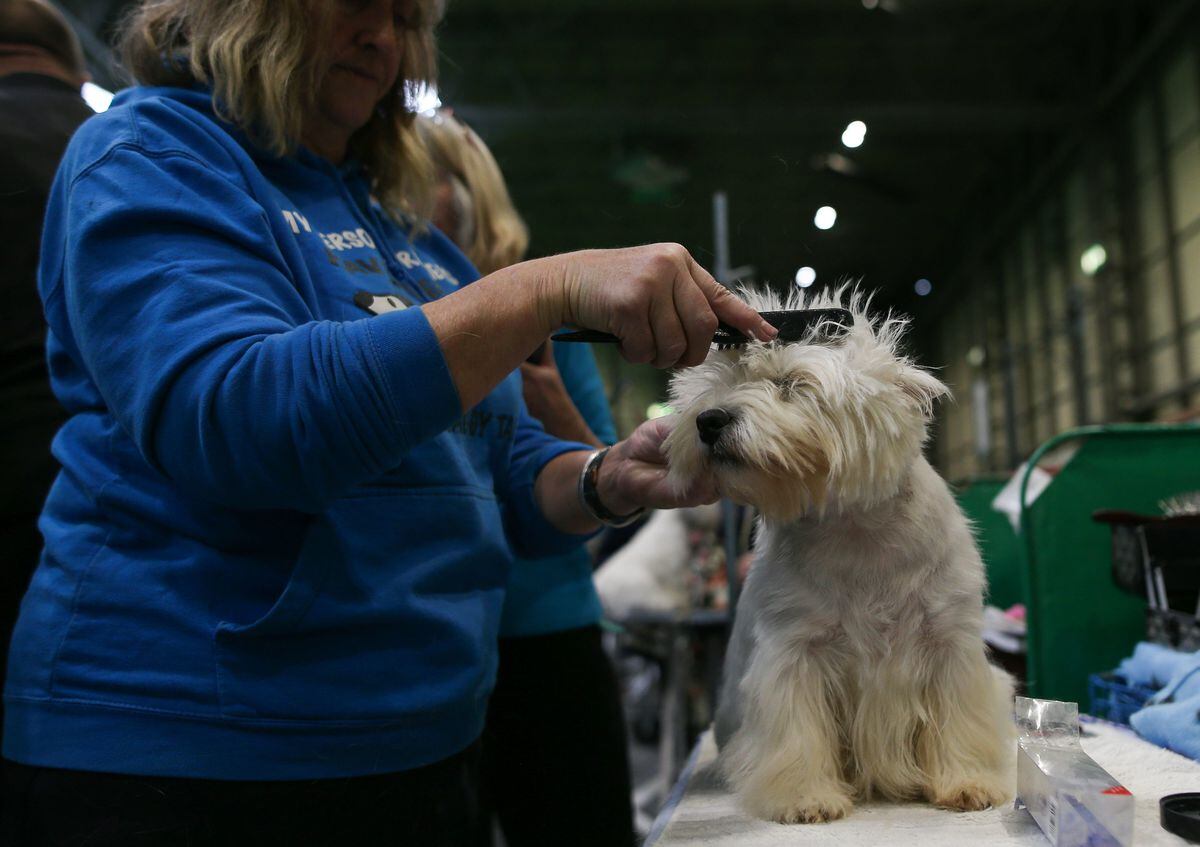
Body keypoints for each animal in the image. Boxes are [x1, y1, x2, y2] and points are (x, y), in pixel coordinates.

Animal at [667, 286, 1012, 820]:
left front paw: (969, 782)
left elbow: (959, 720)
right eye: (715, 386)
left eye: (789, 383)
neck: (857, 531)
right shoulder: (795, 651)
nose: (709, 420)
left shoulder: (949, 645)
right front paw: (805, 797)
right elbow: (797, 733)